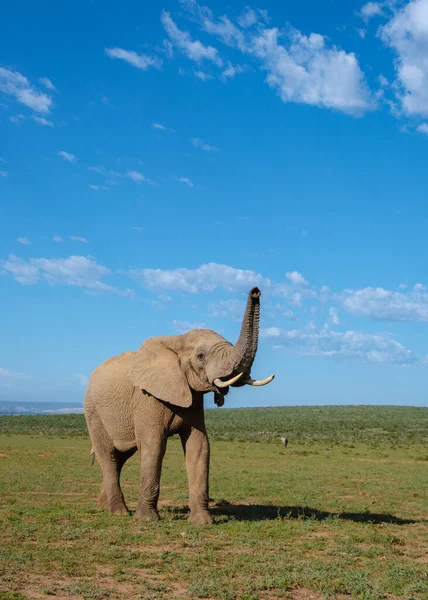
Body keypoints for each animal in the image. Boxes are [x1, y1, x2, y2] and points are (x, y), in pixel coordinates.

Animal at [83, 286, 274, 524]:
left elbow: (199, 446)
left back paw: (104, 507)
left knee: (121, 456)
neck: (176, 340)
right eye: (201, 356)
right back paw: (118, 512)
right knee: (108, 454)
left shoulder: (193, 398)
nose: (256, 291)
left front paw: (203, 522)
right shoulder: (147, 398)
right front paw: (147, 520)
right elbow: (154, 446)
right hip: (93, 410)